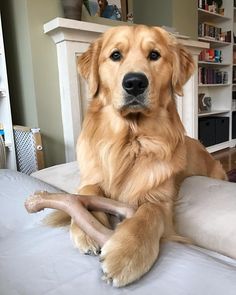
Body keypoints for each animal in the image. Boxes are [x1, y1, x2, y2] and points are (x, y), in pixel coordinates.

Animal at [57, 25, 227, 290]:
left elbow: (149, 212)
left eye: (154, 55)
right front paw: (85, 228)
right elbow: (87, 192)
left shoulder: (161, 200)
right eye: (115, 55)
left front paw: (127, 254)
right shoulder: (90, 178)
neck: (129, 141)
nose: (135, 82)